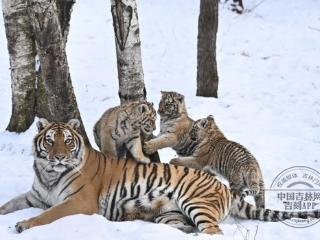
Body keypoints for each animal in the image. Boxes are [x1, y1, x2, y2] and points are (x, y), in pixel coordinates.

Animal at [0, 119, 318, 233]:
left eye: (67, 141)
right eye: (50, 140)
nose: (59, 156)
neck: (48, 174)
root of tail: (225, 188)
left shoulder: (79, 202)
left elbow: (48, 215)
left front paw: (24, 224)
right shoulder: (35, 195)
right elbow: (8, 203)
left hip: (195, 203)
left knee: (214, 232)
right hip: (171, 214)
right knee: (189, 229)